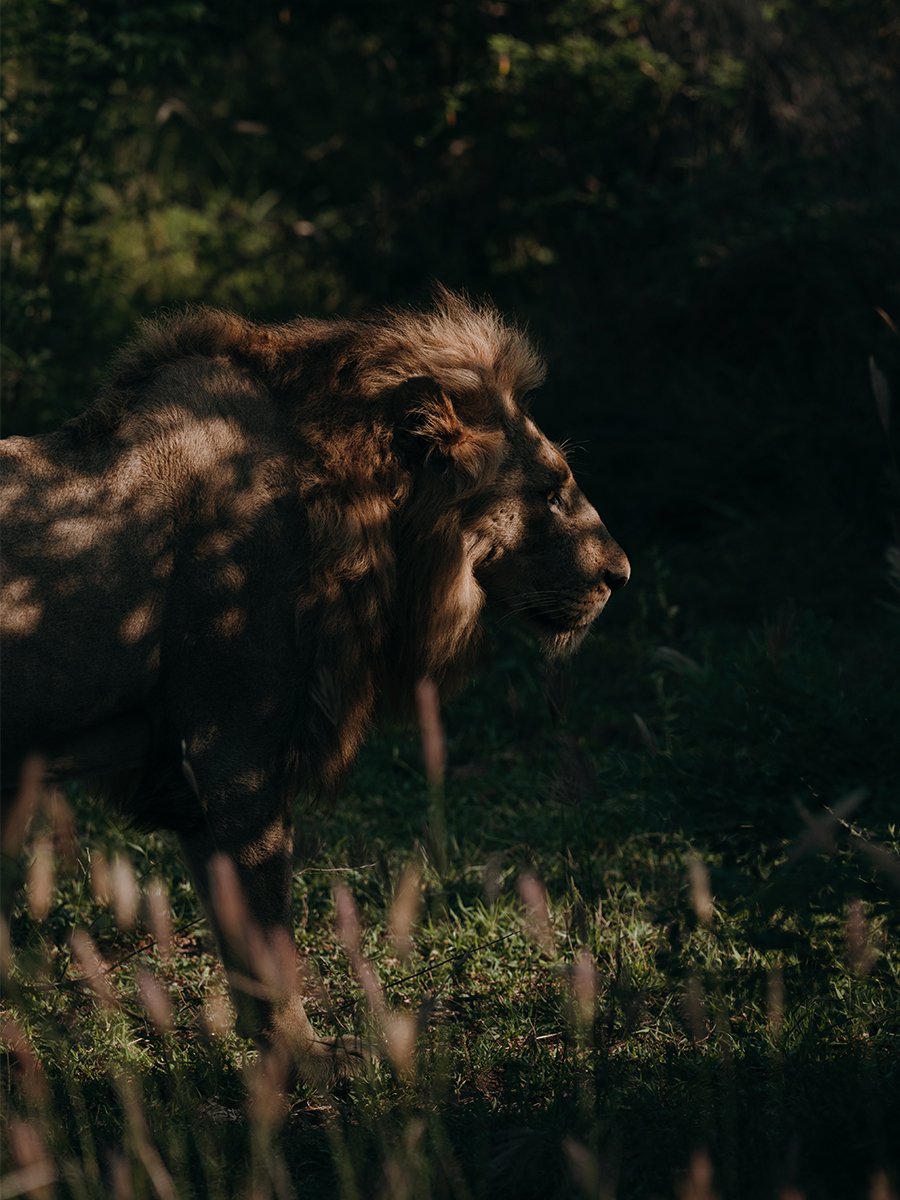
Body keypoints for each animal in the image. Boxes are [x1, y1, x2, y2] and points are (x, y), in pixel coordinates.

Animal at [0, 288, 628, 1080]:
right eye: (548, 489)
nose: (620, 575)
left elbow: (240, 935)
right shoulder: (233, 749)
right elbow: (268, 931)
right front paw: (306, 1057)